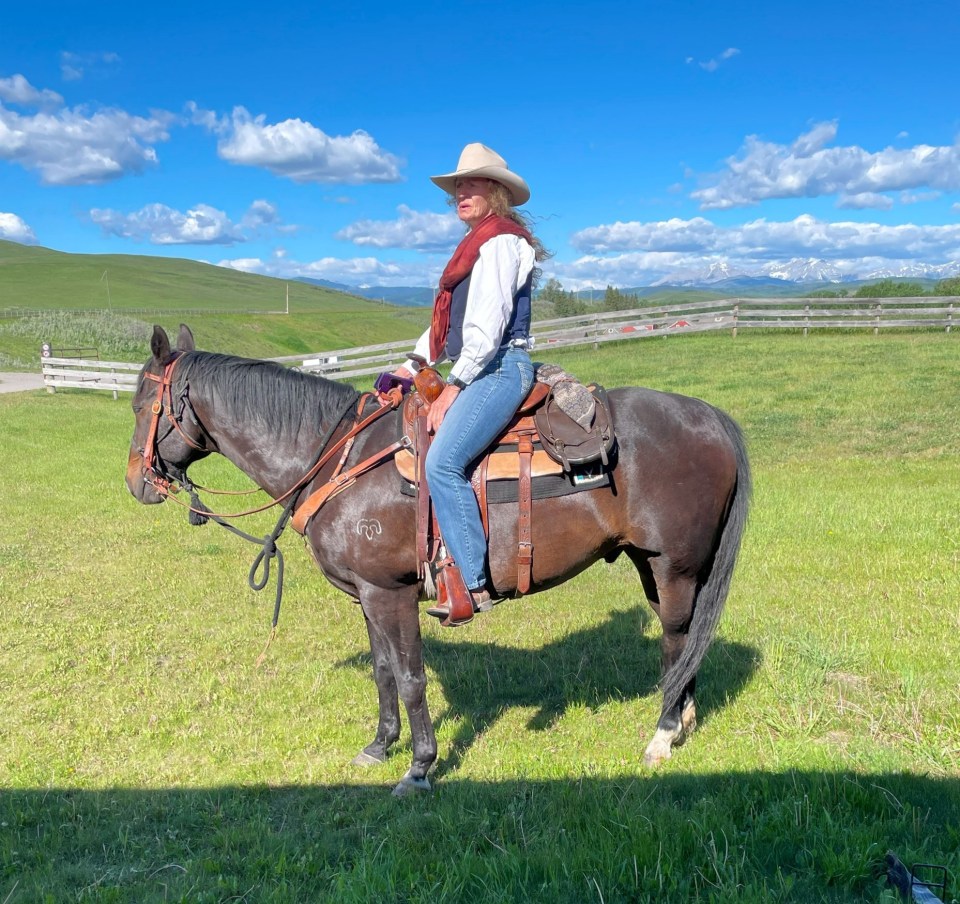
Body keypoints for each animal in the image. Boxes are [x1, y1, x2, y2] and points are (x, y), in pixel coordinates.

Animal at [126, 324, 751, 795]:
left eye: (141, 405)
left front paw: (420, 768)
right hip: (655, 565)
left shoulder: (391, 592)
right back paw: (683, 717)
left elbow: (409, 677)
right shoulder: (369, 595)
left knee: (676, 635)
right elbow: (383, 673)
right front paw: (379, 746)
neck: (337, 457)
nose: (137, 483)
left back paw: (662, 735)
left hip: (673, 566)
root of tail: (711, 416)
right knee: (684, 636)